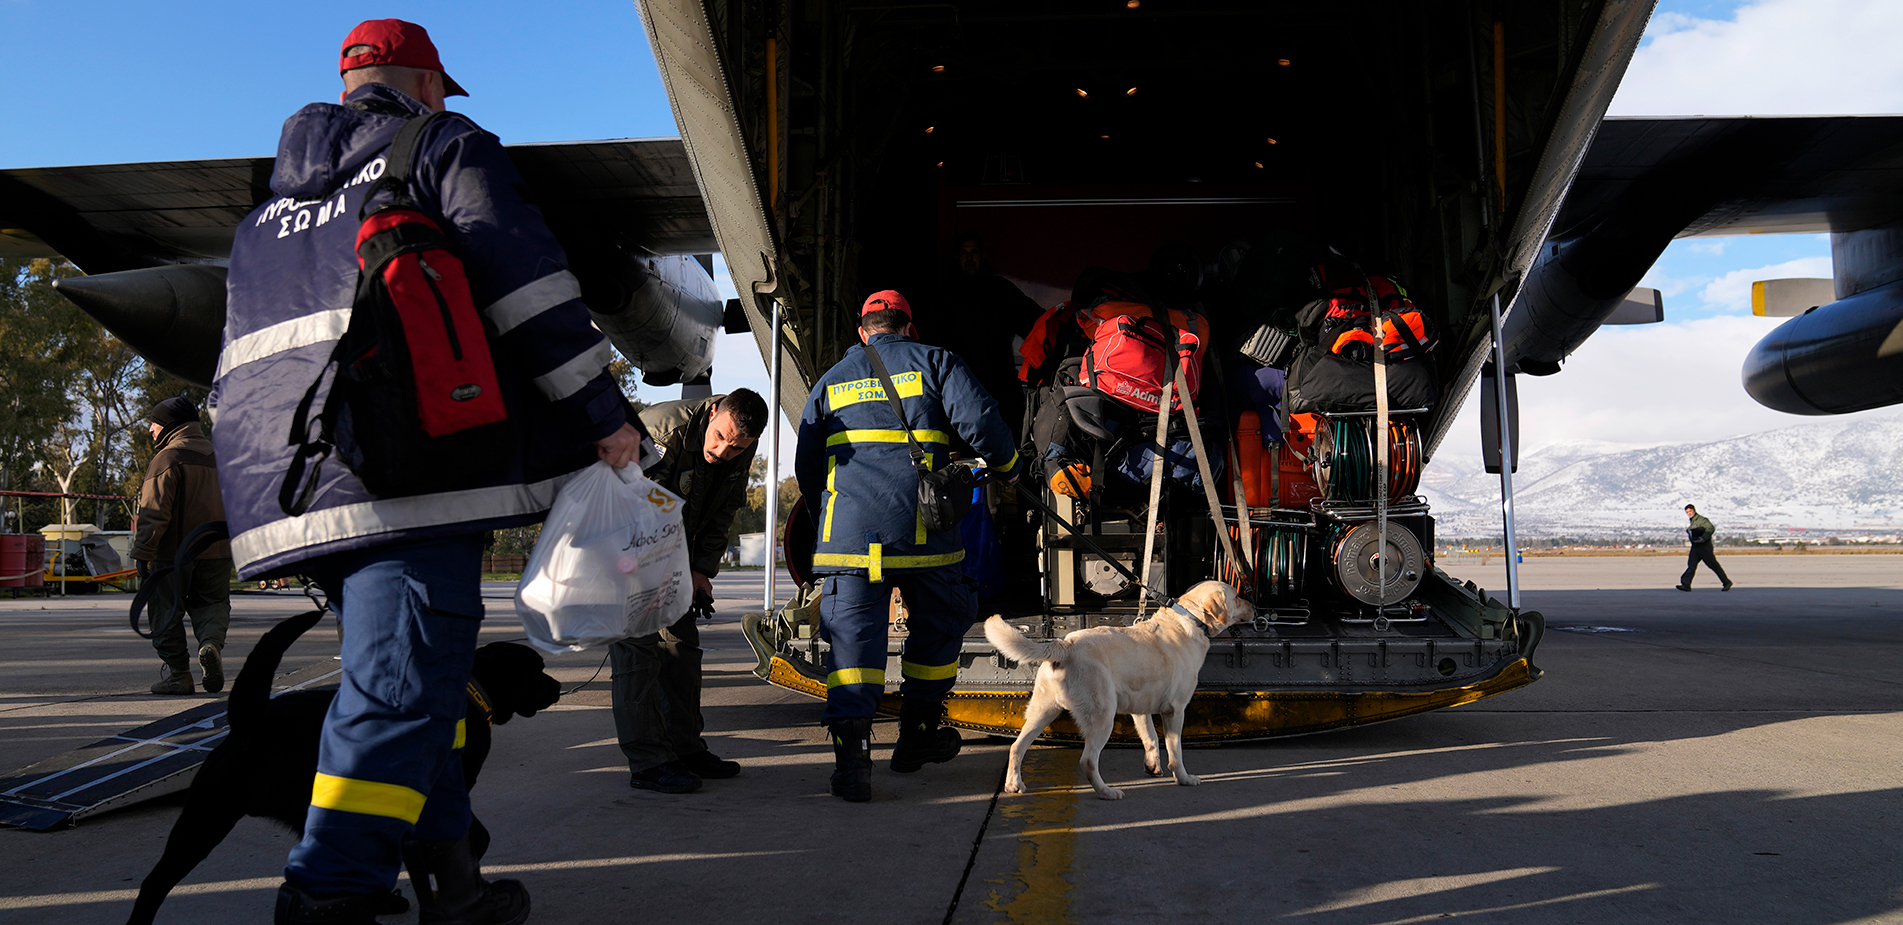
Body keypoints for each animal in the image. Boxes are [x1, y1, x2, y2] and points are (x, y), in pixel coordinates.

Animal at [124, 609, 555, 921]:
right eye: (536, 670)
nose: (556, 686)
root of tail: (251, 724)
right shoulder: (443, 797)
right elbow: (473, 837)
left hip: (210, 815)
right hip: (212, 820)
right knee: (155, 883)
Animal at [989, 582, 1255, 799]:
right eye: (1237, 596)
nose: (1254, 606)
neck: (1191, 617)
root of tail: (1065, 645)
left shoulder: (1141, 709)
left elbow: (1151, 738)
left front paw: (1153, 767)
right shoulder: (1175, 710)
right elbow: (1175, 750)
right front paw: (1183, 778)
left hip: (1043, 711)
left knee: (1017, 747)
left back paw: (1013, 785)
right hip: (1103, 714)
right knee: (1088, 760)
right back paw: (1107, 792)